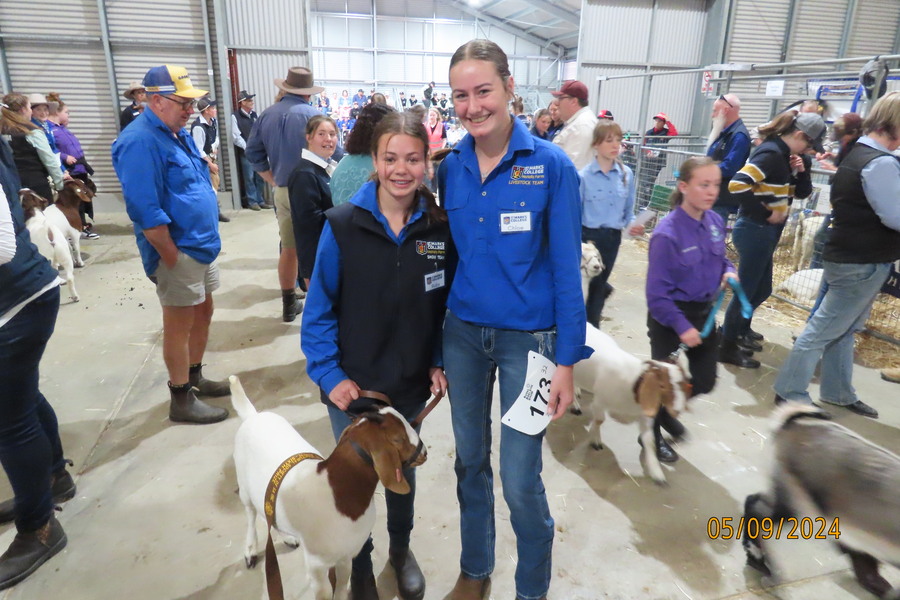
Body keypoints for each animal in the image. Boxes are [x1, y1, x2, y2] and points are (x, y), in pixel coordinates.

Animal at [232, 378, 428, 596]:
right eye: (397, 439)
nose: (424, 453)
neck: (335, 490)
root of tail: (253, 416)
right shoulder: (317, 565)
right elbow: (325, 592)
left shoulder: (346, 554)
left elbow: (341, 585)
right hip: (243, 483)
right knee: (250, 513)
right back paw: (250, 551)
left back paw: (288, 538)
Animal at [572, 326, 692, 486]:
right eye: (662, 385)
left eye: (683, 383)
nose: (677, 410)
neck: (634, 385)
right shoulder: (599, 402)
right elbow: (599, 420)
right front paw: (595, 439)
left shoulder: (644, 415)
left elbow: (649, 440)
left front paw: (657, 473)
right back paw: (574, 404)